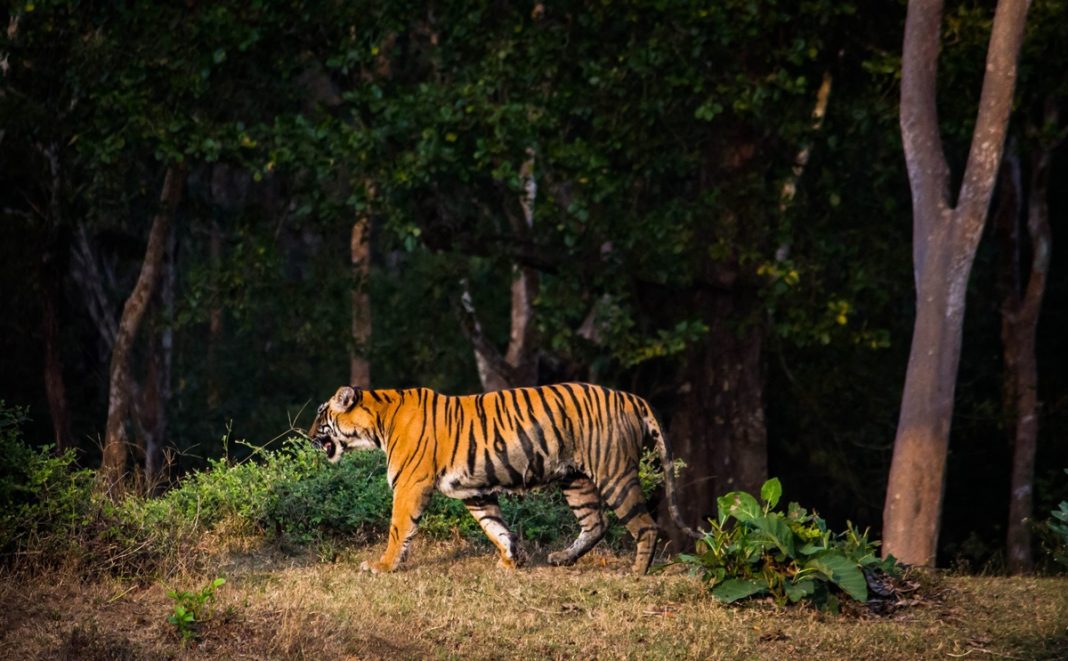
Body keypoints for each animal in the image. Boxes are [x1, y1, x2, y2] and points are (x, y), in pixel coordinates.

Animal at [307, 382, 700, 574]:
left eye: (321, 415)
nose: (308, 435)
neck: (379, 421)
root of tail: (629, 396)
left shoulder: (409, 485)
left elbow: (397, 529)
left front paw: (382, 566)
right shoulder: (473, 491)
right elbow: (495, 527)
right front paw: (511, 560)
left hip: (613, 472)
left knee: (645, 525)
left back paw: (636, 572)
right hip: (575, 479)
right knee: (596, 523)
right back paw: (562, 559)